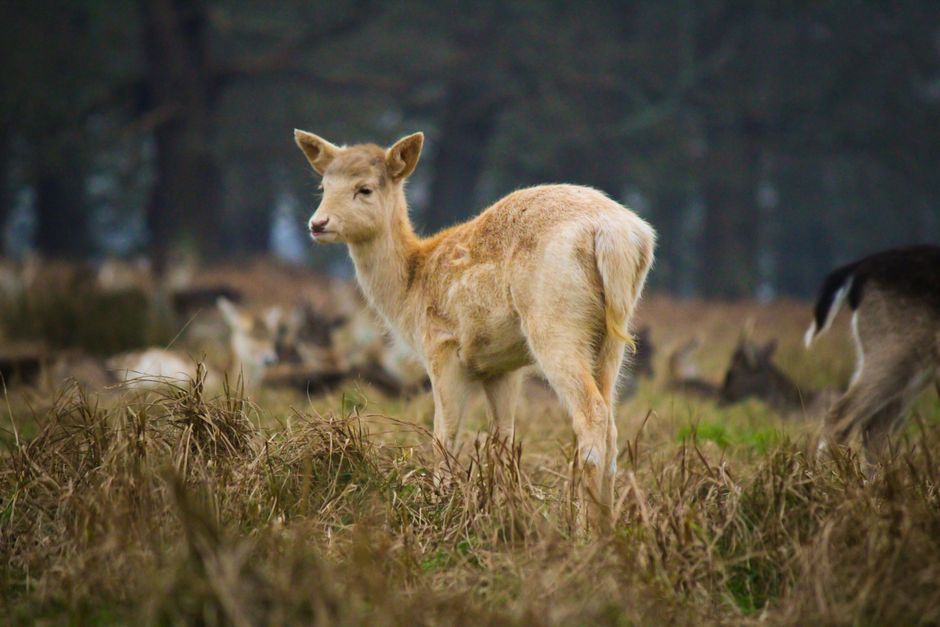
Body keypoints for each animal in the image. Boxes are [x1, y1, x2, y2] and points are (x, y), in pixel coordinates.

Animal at [293, 129, 656, 513]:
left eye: (364, 188)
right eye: (323, 185)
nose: (317, 224)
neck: (411, 288)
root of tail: (619, 235)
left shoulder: (441, 346)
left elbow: (445, 433)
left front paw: (440, 504)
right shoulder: (502, 368)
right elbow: (504, 436)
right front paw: (502, 505)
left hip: (555, 322)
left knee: (592, 414)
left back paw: (584, 524)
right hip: (614, 333)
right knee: (612, 425)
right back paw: (607, 522)